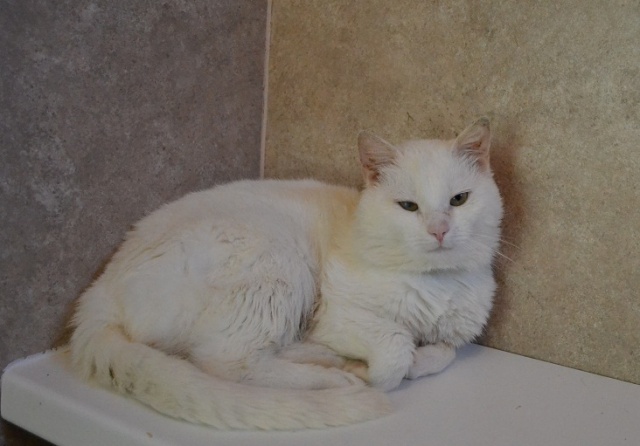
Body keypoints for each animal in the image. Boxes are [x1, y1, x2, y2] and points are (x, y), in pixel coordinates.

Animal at [69, 118, 503, 430]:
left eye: (459, 199)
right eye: (408, 206)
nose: (439, 230)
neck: (437, 283)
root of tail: (100, 289)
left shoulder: (457, 333)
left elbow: (445, 352)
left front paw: (418, 358)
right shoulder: (338, 315)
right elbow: (396, 346)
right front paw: (388, 368)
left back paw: (330, 359)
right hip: (279, 264)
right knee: (226, 361)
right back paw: (338, 376)